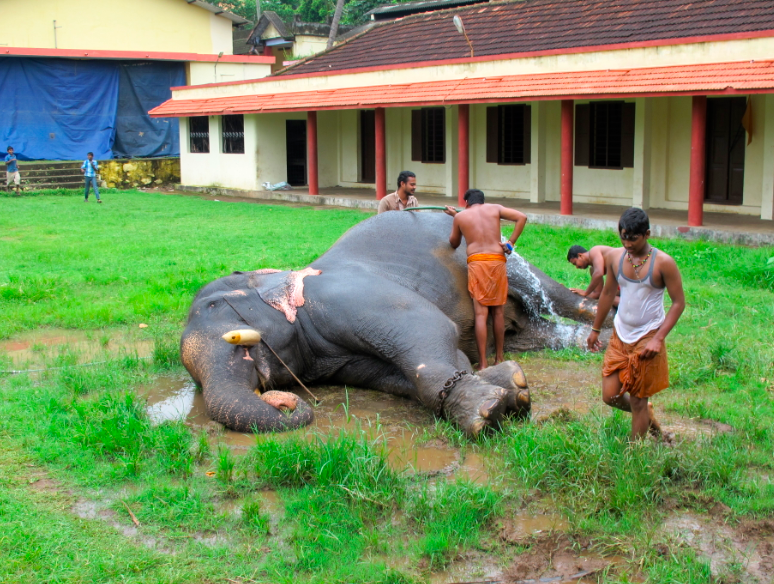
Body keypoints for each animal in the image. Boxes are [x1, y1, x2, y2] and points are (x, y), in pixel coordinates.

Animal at [180, 210, 608, 434]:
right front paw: (511, 387)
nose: (285, 402)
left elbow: (429, 327)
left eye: (218, 306)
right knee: (532, 331)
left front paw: (486, 412)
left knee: (554, 295)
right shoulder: (336, 357)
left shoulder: (344, 295)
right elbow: (402, 375)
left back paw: (599, 338)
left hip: (504, 256)